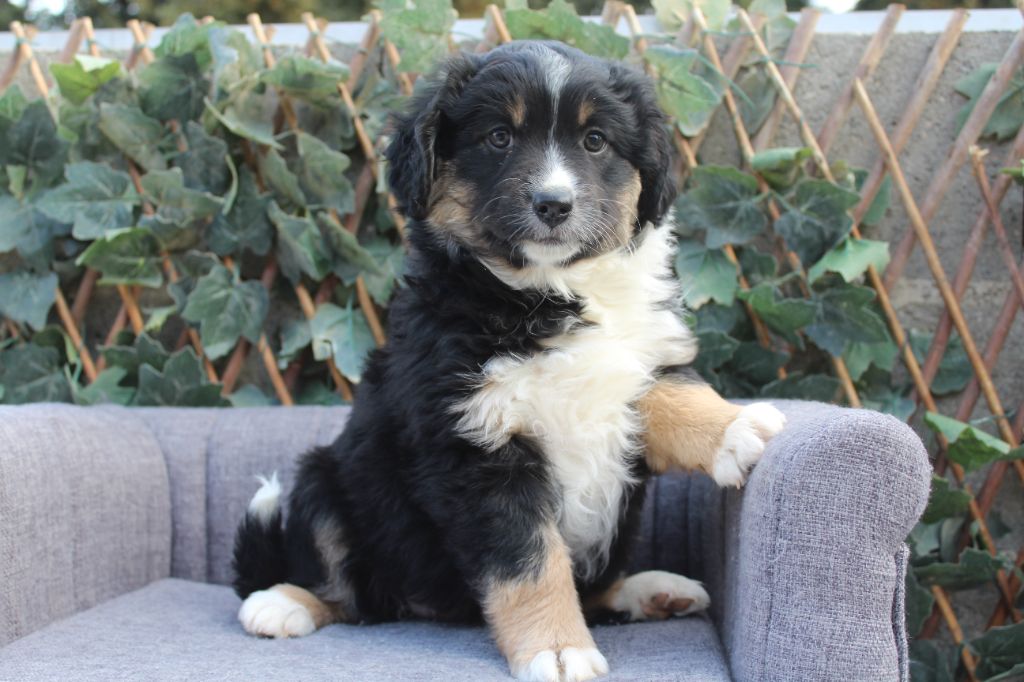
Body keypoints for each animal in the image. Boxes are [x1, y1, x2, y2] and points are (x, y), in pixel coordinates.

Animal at [233, 40, 785, 682]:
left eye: (595, 140)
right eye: (499, 137)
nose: (553, 203)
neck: (546, 295)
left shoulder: (637, 362)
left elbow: (678, 394)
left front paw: (736, 427)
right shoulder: (478, 448)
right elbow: (529, 562)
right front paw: (557, 649)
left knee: (592, 584)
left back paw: (651, 590)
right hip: (322, 483)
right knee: (346, 589)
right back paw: (282, 602)